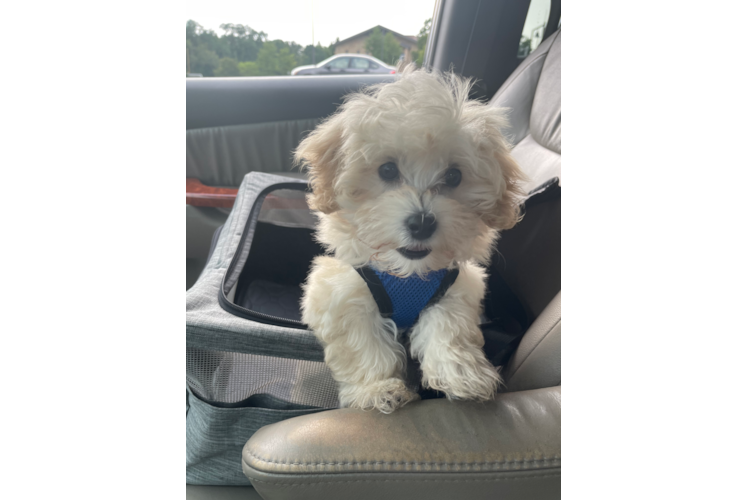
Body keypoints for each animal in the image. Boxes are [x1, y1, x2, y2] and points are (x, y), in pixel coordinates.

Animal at [294, 64, 524, 412]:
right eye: (387, 170)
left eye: (454, 176)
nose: (421, 223)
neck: (408, 275)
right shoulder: (341, 292)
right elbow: (363, 345)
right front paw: (377, 388)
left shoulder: (453, 288)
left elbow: (449, 329)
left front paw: (462, 374)